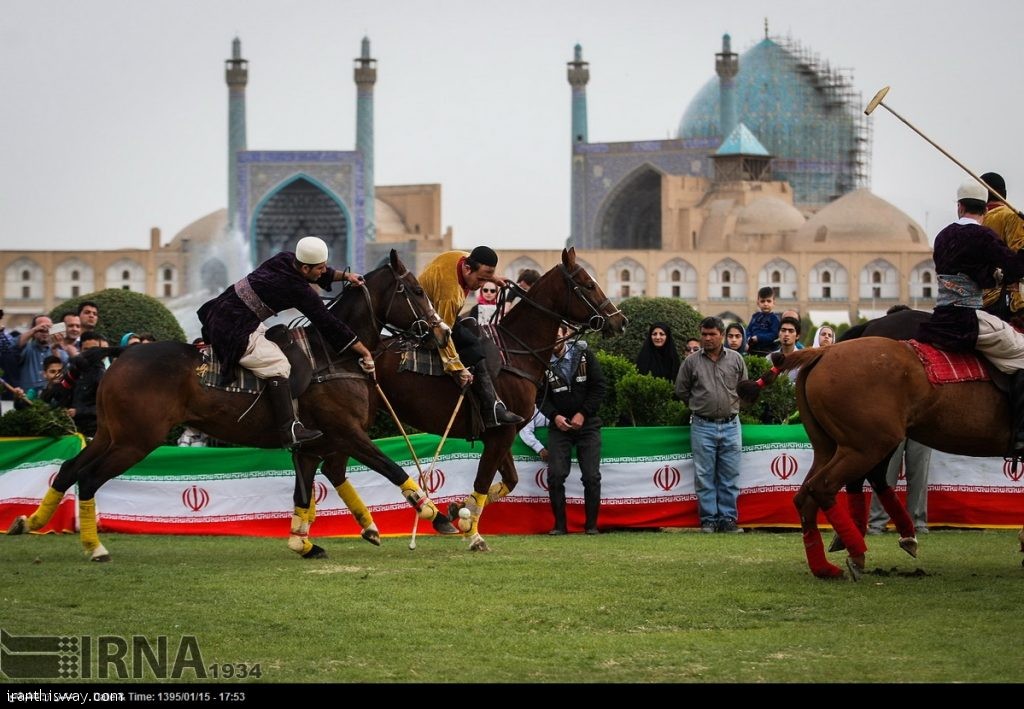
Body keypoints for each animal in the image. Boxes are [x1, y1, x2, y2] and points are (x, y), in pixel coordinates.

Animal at [8, 248, 456, 561]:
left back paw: (31, 520)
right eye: (418, 291)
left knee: (69, 468)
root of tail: (120, 355)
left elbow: (304, 493)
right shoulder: (348, 433)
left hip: (111, 434)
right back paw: (94, 547)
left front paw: (303, 543)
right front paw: (438, 514)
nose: (443, 333)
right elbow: (392, 468)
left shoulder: (313, 446)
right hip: (136, 440)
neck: (333, 353)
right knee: (88, 478)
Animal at [307, 248, 626, 553]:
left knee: (330, 467)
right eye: (588, 284)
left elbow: (508, 481)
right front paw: (472, 533)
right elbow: (483, 480)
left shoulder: (500, 433)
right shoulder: (502, 431)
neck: (517, 350)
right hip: (348, 424)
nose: (620, 321)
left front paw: (458, 509)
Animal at [745, 340, 1015, 581]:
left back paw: (827, 567)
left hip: (831, 447)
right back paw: (858, 553)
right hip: (866, 446)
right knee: (824, 486)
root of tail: (825, 351)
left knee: (807, 496)